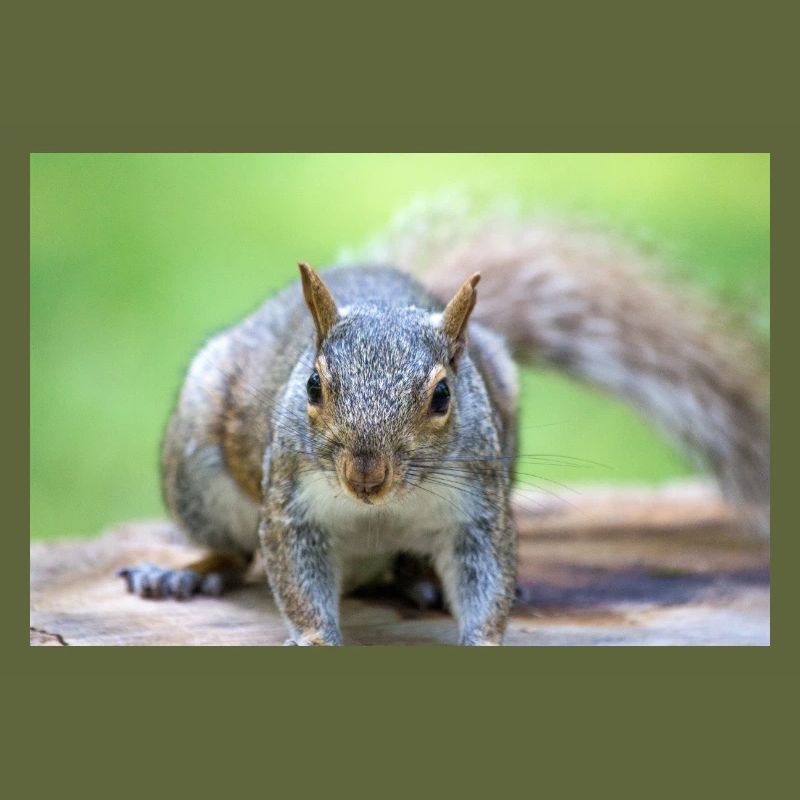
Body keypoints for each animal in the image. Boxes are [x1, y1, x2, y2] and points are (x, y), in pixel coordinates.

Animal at [118, 199, 770, 646]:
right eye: (312, 386)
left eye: (442, 396)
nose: (366, 476)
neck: (379, 511)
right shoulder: (290, 502)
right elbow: (295, 578)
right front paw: (314, 638)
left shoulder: (477, 509)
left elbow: (485, 576)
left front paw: (483, 634)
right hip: (198, 472)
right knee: (232, 552)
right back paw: (183, 575)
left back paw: (421, 580)